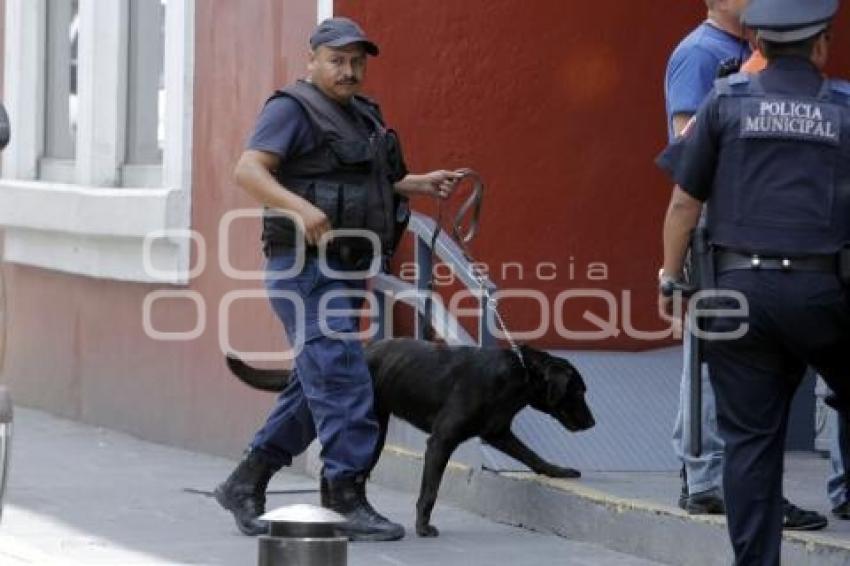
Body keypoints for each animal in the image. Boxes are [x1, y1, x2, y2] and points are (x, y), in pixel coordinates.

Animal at [229, 340, 592, 540]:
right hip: (373, 432)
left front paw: (559, 471)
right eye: (578, 391)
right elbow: (429, 492)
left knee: (330, 471)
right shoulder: (442, 441)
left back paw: (333, 514)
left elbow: (533, 456)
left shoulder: (498, 433)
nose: (592, 423)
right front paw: (423, 527)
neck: (520, 373)